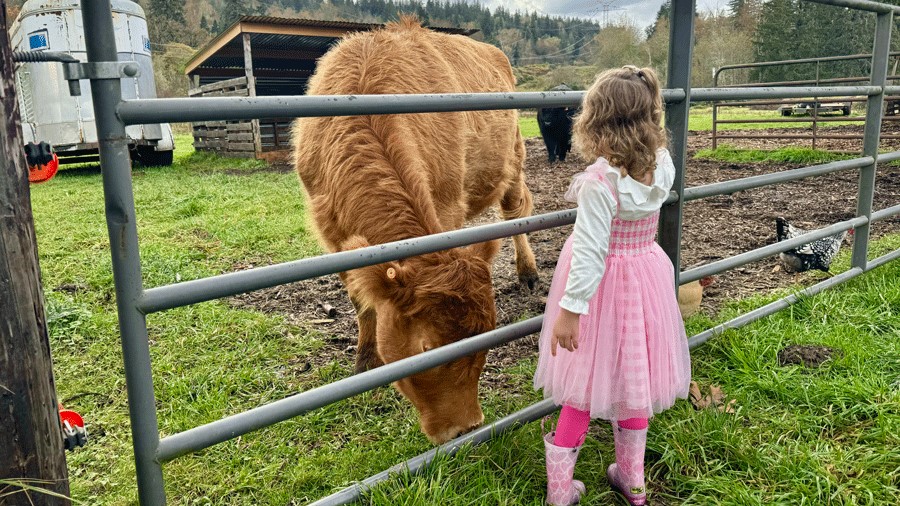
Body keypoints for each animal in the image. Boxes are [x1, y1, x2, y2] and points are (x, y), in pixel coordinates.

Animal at [292, 16, 536, 442]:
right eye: (426, 348)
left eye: (488, 334)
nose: (465, 428)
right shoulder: (334, 238)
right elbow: (362, 303)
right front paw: (367, 363)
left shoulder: (447, 208)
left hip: (513, 163)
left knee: (516, 214)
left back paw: (528, 272)